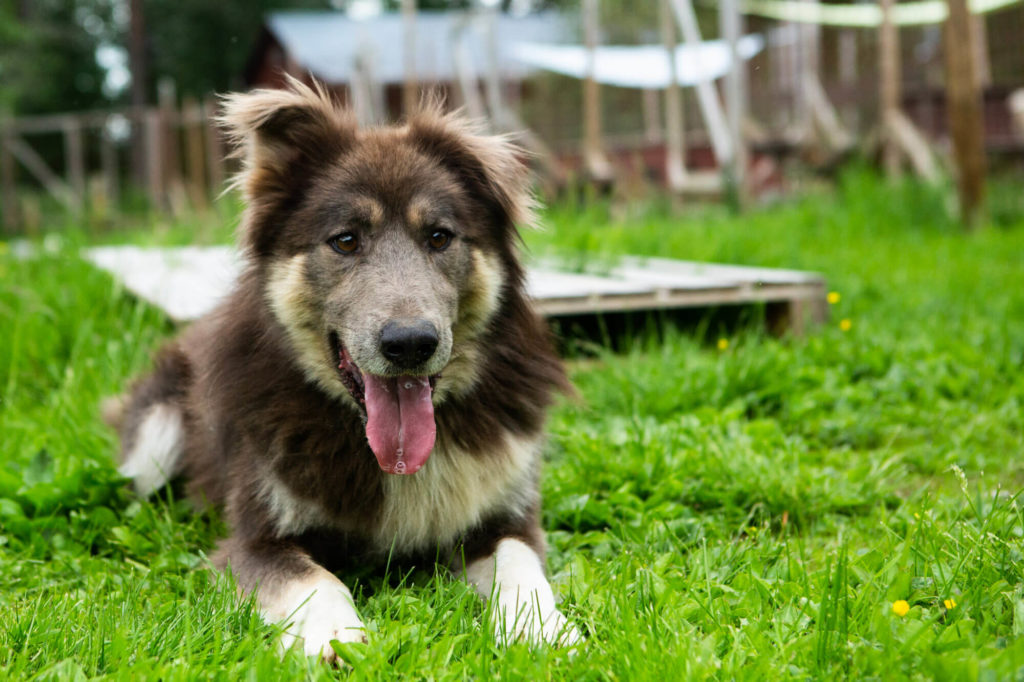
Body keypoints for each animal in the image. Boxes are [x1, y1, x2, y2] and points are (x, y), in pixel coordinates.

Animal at [110, 80, 585, 659]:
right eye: (345, 240)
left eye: (439, 237)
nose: (411, 345)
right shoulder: (256, 541)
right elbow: (314, 579)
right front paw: (337, 637)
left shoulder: (504, 516)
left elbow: (520, 565)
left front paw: (541, 629)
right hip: (154, 437)